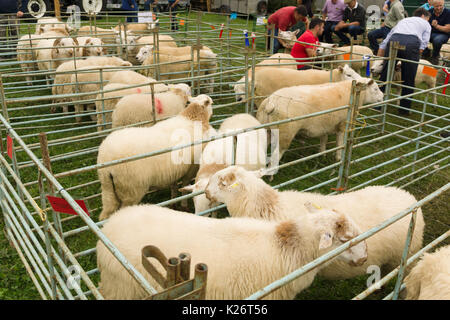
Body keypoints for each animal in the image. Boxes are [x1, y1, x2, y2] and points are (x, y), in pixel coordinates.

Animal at [256, 77, 384, 161]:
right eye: (375, 89)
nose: (383, 97)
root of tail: (271, 102)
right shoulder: (342, 124)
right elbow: (340, 143)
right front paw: (338, 158)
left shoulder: (325, 124)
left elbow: (324, 139)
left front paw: (322, 154)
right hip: (285, 133)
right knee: (276, 156)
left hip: (266, 129)